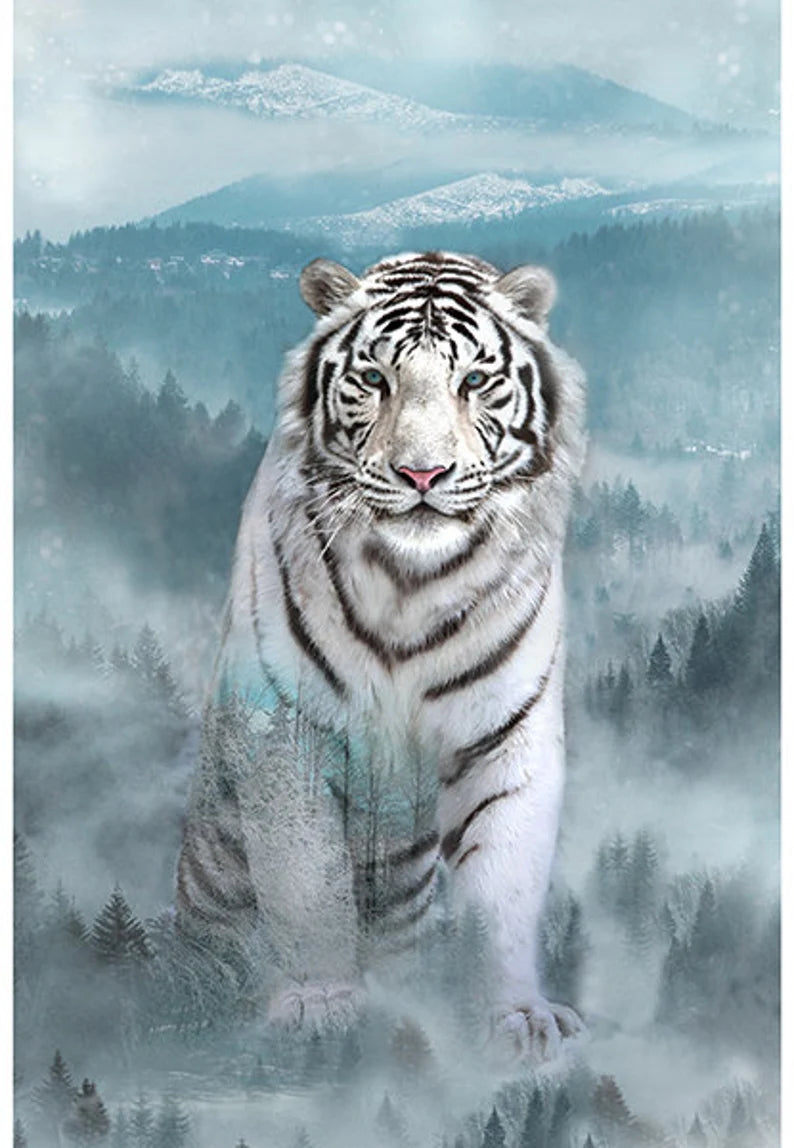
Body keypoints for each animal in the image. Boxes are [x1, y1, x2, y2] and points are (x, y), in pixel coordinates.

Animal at [176, 249, 587, 1058]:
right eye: (374, 379)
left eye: (473, 381)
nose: (422, 476)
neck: (412, 583)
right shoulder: (288, 730)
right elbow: (306, 879)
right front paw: (320, 1002)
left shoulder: (506, 733)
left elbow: (504, 886)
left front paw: (517, 1017)